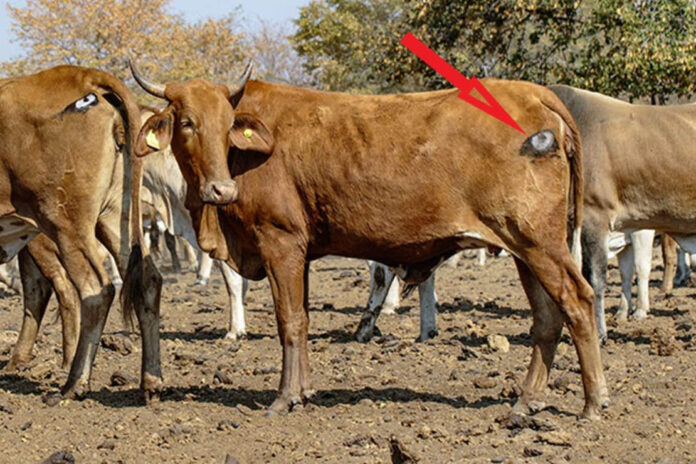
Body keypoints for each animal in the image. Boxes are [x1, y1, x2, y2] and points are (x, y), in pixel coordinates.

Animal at [0, 66, 161, 400]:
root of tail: (83, 75)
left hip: (64, 223)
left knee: (92, 289)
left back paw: (74, 381)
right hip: (115, 216)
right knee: (147, 280)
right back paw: (150, 382)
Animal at [129, 61, 607, 420]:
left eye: (229, 125)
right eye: (186, 123)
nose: (221, 189)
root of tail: (533, 93)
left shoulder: (280, 241)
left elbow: (289, 321)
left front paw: (284, 398)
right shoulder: (300, 251)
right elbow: (303, 318)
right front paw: (304, 391)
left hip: (538, 242)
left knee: (578, 301)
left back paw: (592, 402)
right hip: (524, 247)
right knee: (547, 317)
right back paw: (526, 401)